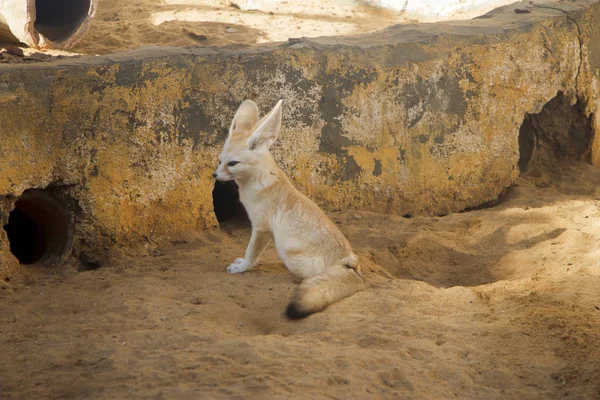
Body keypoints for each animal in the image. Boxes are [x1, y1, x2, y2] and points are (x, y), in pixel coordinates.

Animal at [213, 99, 368, 318]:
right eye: (220, 161)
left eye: (233, 163)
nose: (215, 175)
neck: (257, 180)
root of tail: (352, 265)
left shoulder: (261, 228)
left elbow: (251, 254)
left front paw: (242, 267)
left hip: (289, 254)